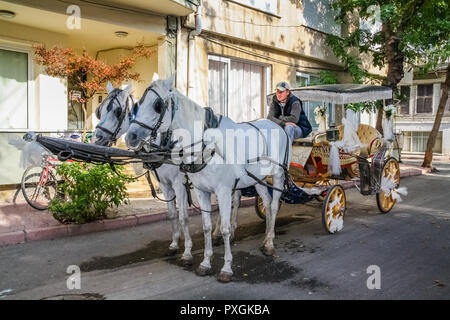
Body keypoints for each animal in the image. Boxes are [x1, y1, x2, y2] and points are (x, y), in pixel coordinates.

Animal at [125, 75, 292, 282]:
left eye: (157, 105)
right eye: (138, 104)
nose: (131, 136)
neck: (206, 145)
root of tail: (278, 126)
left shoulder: (219, 190)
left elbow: (224, 227)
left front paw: (226, 267)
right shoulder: (200, 190)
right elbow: (205, 226)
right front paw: (205, 263)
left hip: (278, 175)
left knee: (275, 205)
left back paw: (269, 243)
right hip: (257, 179)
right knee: (267, 203)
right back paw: (266, 237)